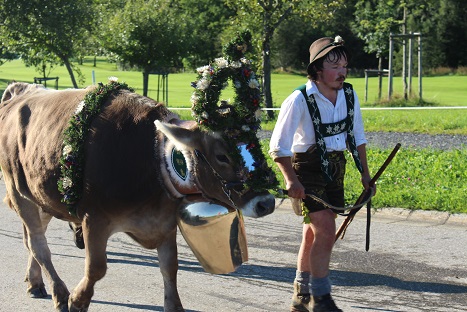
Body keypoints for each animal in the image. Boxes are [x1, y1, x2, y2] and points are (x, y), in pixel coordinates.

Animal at [0, 82, 276, 312]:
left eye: (255, 145)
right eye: (221, 156)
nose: (267, 203)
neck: (151, 161)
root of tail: (21, 90)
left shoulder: (164, 223)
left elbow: (170, 267)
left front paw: (174, 306)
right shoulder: (94, 218)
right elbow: (97, 267)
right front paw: (78, 300)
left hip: (43, 196)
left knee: (32, 240)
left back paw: (35, 281)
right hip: (19, 191)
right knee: (38, 244)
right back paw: (59, 293)